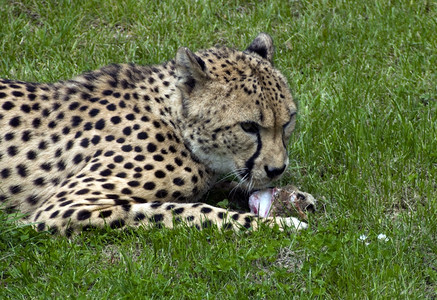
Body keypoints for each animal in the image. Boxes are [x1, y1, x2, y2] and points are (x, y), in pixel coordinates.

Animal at [0, 32, 314, 234]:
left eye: (288, 121)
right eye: (248, 126)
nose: (277, 169)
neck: (172, 119)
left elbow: (223, 187)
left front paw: (296, 197)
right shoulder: (62, 208)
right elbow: (185, 210)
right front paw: (278, 224)